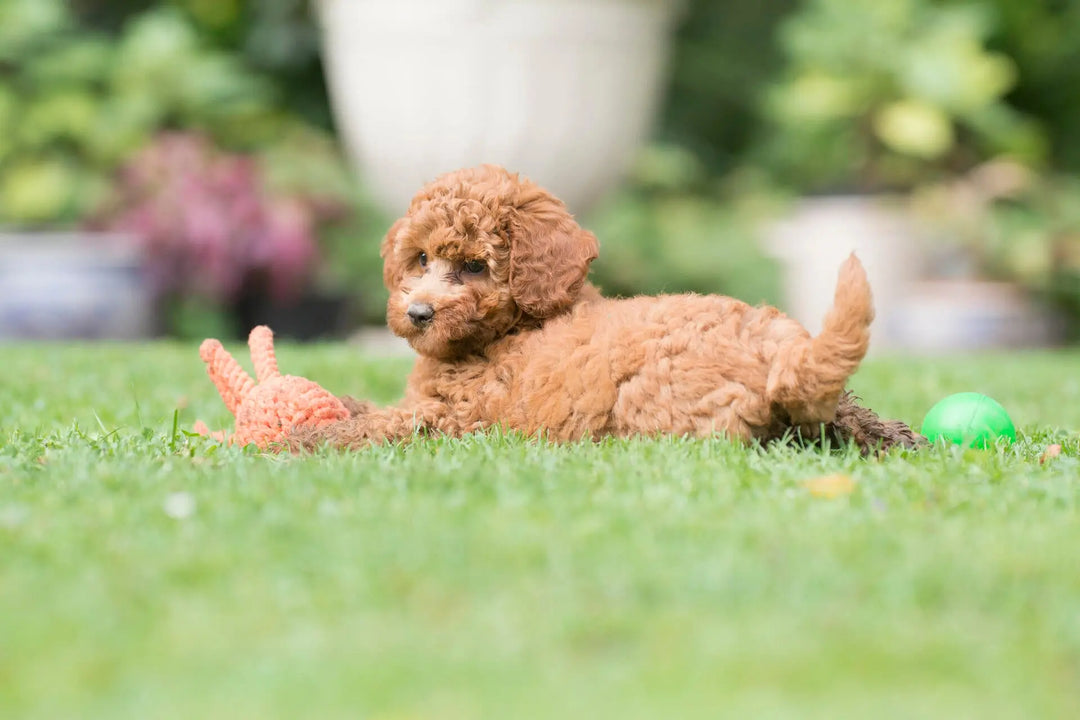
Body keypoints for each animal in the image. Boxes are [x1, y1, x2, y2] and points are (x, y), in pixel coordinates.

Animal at [293, 166, 920, 453]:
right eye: (420, 257)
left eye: (473, 266)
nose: (418, 313)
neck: (509, 329)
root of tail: (778, 358)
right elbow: (368, 406)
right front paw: (334, 407)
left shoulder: (458, 419)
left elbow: (383, 423)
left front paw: (301, 439)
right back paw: (891, 437)